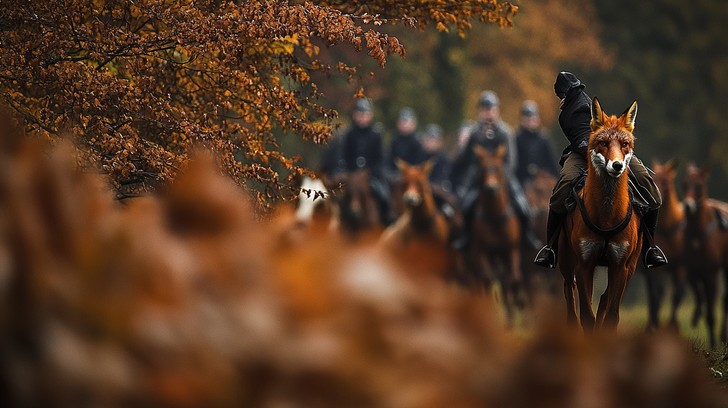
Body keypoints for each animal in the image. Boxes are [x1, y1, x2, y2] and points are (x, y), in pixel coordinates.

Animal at [467, 144, 524, 324]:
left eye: (498, 169)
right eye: (482, 169)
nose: (491, 188)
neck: (494, 218)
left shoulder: (512, 250)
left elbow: (511, 280)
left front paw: (511, 316)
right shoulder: (482, 253)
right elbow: (489, 281)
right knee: (480, 283)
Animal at [559, 97, 642, 331]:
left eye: (624, 144)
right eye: (603, 143)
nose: (617, 165)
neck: (606, 218)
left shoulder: (620, 266)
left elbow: (611, 316)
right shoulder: (584, 264)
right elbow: (587, 316)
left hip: (630, 268)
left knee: (605, 300)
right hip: (565, 261)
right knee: (569, 297)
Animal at [641, 159, 685, 331]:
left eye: (666, 181)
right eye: (654, 179)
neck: (667, 229)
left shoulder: (679, 266)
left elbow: (677, 295)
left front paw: (673, 325)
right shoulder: (656, 271)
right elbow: (657, 295)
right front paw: (656, 324)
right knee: (653, 295)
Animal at [682, 163, 728, 347]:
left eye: (699, 186)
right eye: (684, 184)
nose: (688, 206)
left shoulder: (711, 274)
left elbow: (711, 313)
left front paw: (714, 344)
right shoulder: (691, 271)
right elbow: (698, 295)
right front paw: (695, 315)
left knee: (724, 300)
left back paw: (722, 336)